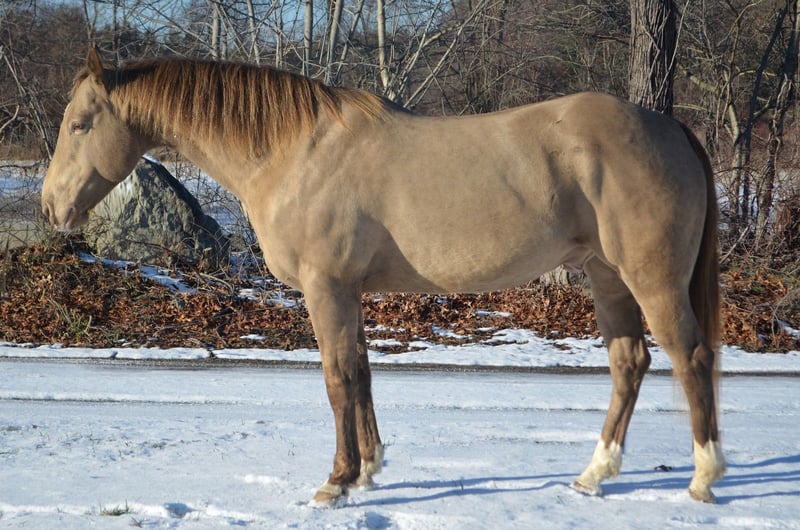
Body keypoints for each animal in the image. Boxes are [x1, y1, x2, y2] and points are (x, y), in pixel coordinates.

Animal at [42, 49, 725, 506]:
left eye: (79, 124)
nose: (50, 207)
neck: (293, 154)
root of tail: (671, 127)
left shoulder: (327, 290)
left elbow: (337, 380)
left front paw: (337, 482)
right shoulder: (349, 293)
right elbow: (362, 375)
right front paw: (369, 469)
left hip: (651, 278)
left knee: (690, 357)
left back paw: (703, 477)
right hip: (607, 278)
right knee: (630, 362)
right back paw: (593, 476)